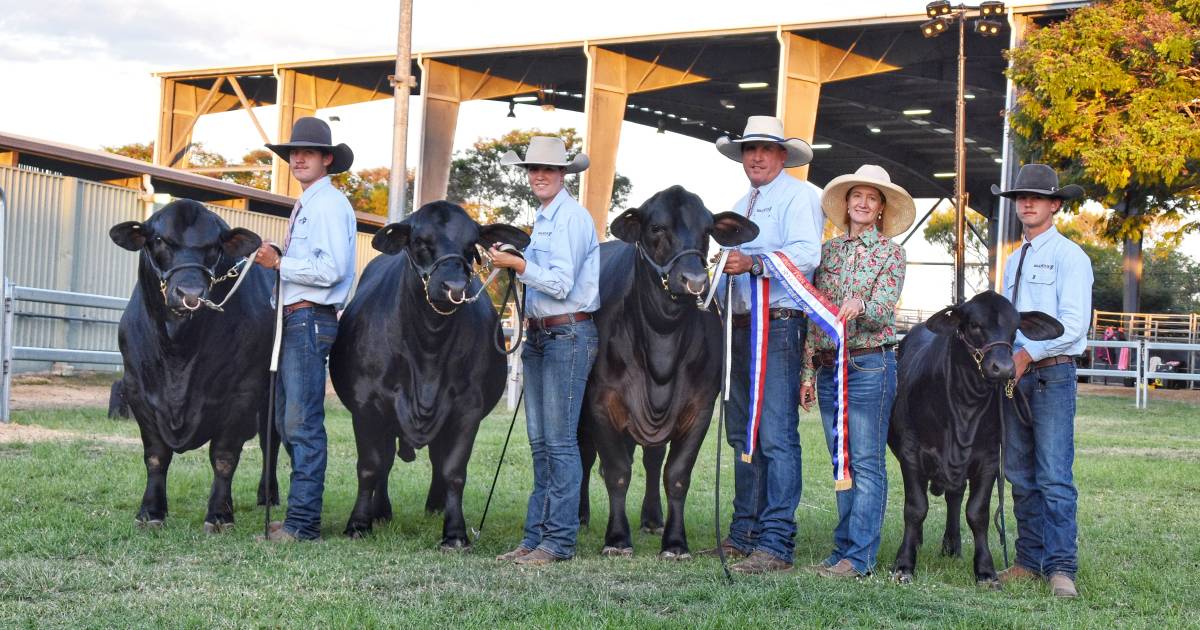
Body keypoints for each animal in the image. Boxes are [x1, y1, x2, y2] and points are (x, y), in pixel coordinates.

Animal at [105, 200, 278, 530]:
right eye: (159, 239)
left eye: (215, 245)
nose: (190, 295)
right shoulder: (137, 390)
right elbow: (156, 455)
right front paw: (151, 511)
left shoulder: (243, 393)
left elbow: (224, 456)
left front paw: (220, 514)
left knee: (269, 443)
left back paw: (268, 495)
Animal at [333, 200, 530, 544]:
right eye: (420, 242)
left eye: (471, 246)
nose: (454, 287)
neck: (429, 345)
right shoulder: (368, 406)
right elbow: (370, 466)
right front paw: (358, 523)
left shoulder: (467, 408)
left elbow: (454, 471)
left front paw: (455, 532)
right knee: (386, 462)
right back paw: (381, 511)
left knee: (437, 460)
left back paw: (435, 506)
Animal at [576, 184, 753, 556]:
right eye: (657, 228)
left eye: (707, 231)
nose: (695, 280)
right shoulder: (601, 402)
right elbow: (616, 471)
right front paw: (617, 538)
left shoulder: (699, 407)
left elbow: (676, 474)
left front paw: (674, 541)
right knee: (585, 454)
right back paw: (581, 514)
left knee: (653, 458)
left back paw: (653, 518)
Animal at [888, 290, 1065, 585]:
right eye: (973, 325)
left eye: (1015, 329)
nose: (1003, 368)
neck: (963, 411)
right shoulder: (911, 453)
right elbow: (915, 508)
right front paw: (903, 563)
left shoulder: (989, 459)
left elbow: (977, 512)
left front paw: (985, 569)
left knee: (954, 497)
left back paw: (952, 545)